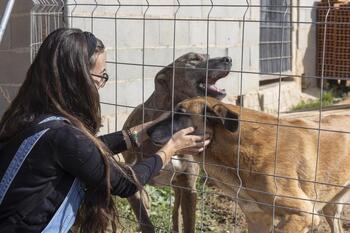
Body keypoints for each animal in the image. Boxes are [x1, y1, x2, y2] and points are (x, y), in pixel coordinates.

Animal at [123, 52, 232, 233]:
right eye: (194, 59)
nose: (228, 59)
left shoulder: (188, 188)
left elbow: (188, 223)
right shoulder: (131, 184)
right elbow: (145, 221)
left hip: (178, 187)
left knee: (175, 212)